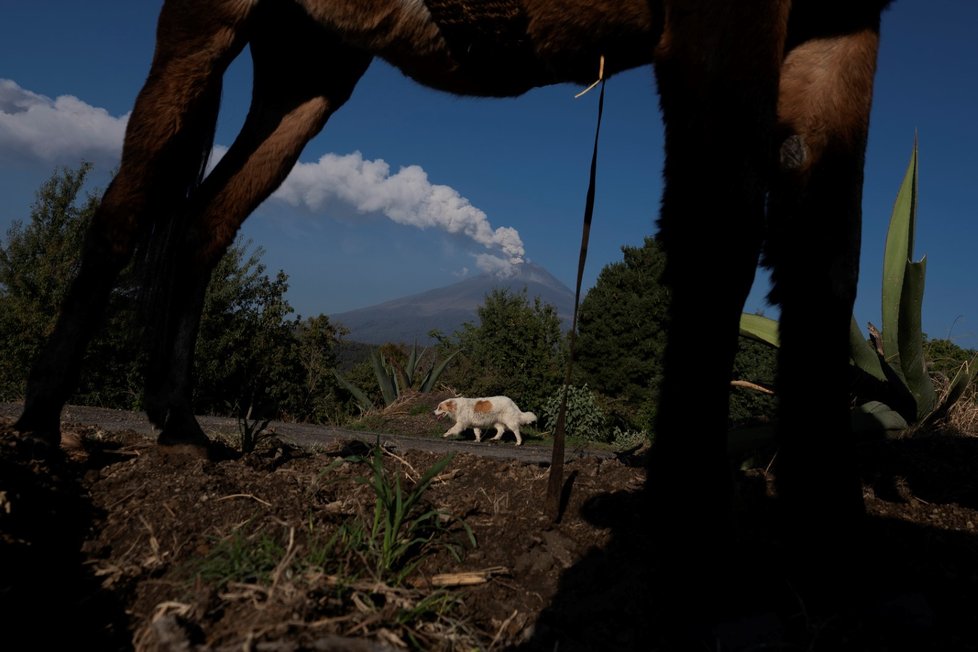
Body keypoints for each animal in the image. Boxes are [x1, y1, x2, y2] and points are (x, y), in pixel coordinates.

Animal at [17, 0, 892, 600]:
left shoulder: (840, 24)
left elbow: (828, 254)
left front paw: (832, 536)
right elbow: (721, 235)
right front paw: (695, 528)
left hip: (309, 65)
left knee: (204, 224)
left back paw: (179, 422)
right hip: (209, 22)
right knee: (124, 215)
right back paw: (39, 427)